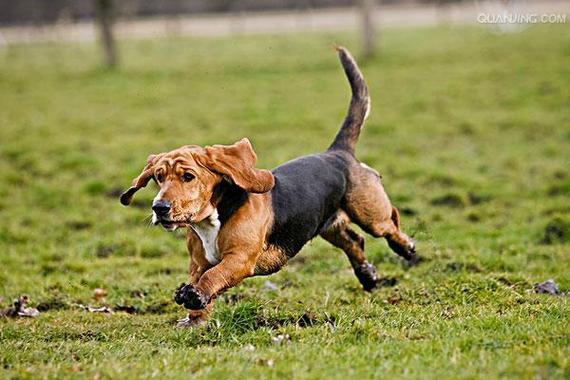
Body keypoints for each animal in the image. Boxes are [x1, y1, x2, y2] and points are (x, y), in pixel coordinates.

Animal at [120, 47, 412, 326]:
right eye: (158, 178)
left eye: (188, 177)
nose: (159, 208)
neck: (213, 218)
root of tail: (338, 152)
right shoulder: (197, 262)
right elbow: (202, 282)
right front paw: (194, 318)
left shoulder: (239, 259)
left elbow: (214, 276)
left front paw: (196, 295)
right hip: (329, 225)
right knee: (354, 241)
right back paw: (368, 276)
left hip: (371, 215)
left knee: (391, 224)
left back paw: (406, 248)